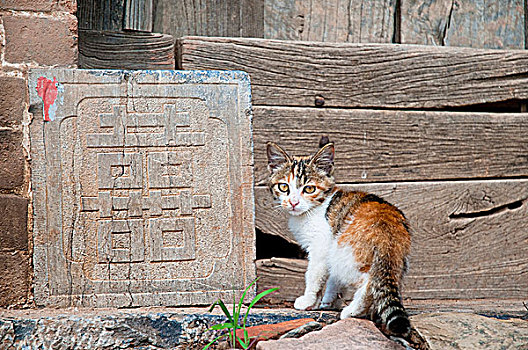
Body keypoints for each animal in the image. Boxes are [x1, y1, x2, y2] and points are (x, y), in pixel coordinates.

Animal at [266, 137, 410, 336]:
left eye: (309, 189)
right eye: (283, 187)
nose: (293, 202)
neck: (315, 207)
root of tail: (388, 229)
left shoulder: (321, 245)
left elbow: (314, 274)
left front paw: (308, 301)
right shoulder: (330, 247)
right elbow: (332, 277)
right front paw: (328, 300)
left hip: (346, 250)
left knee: (368, 282)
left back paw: (353, 311)